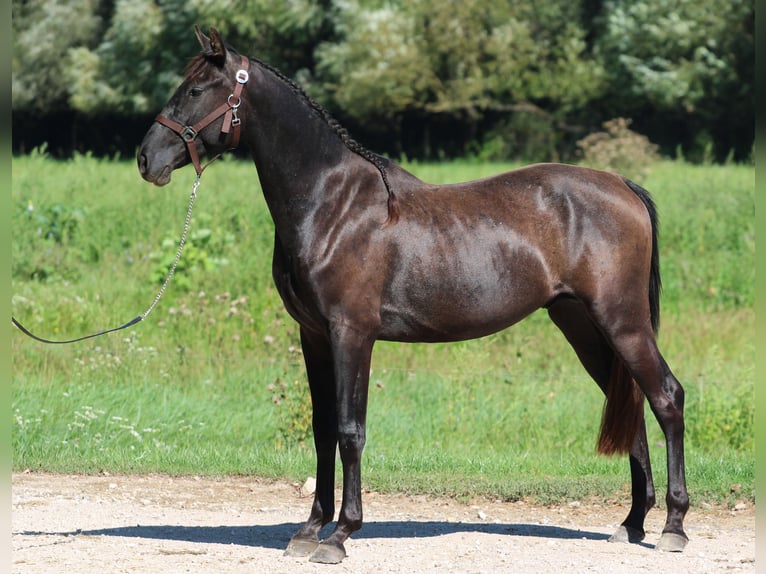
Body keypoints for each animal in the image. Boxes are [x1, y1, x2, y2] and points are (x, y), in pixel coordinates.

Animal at [138, 27, 689, 564]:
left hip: (622, 321)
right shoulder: (313, 334)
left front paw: (340, 534)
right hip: (582, 325)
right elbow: (321, 428)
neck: (332, 203)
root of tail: (622, 185)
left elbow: (350, 430)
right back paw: (631, 523)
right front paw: (310, 528)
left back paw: (673, 526)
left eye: (196, 90)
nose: (146, 159)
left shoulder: (352, 333)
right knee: (632, 404)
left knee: (666, 396)